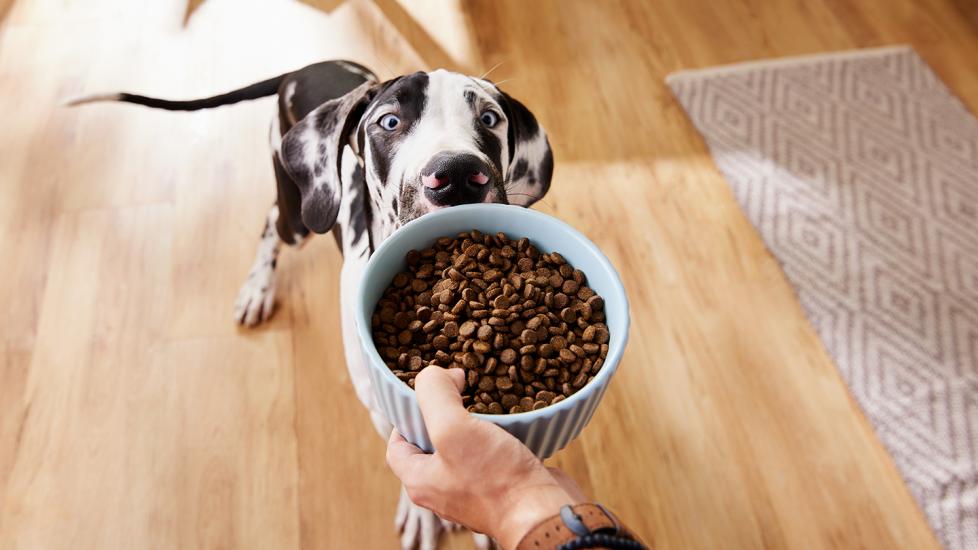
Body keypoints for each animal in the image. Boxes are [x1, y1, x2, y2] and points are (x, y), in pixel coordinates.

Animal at [71, 60, 552, 550]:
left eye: (490, 119)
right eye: (389, 122)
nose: (456, 174)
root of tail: (303, 69)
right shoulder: (380, 407)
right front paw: (423, 511)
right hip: (298, 216)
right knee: (271, 221)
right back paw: (258, 287)